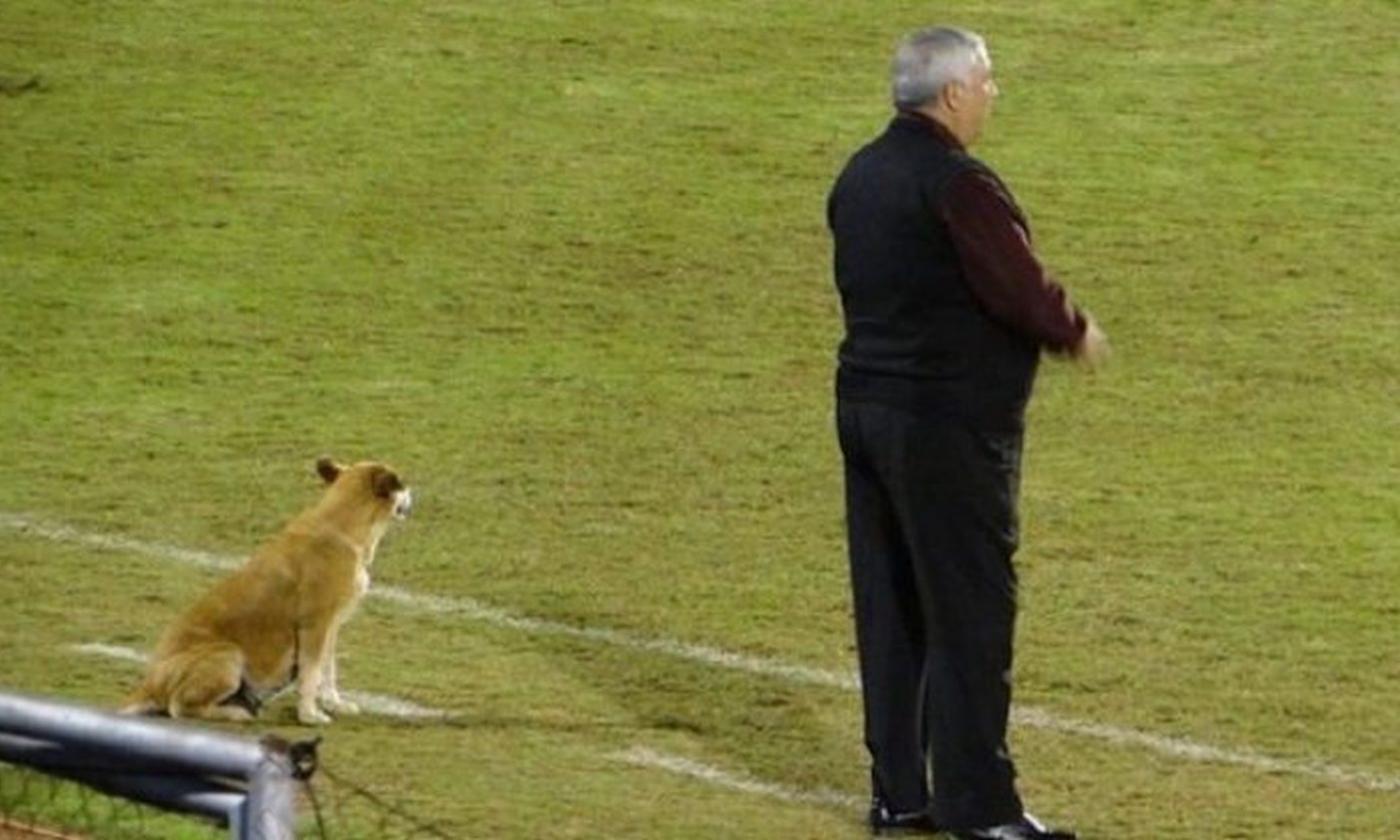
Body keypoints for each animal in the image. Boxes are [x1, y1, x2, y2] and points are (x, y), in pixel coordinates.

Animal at [121, 456, 408, 722]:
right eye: (401, 484)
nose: (412, 491)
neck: (343, 523)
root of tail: (149, 684)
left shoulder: (331, 628)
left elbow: (328, 670)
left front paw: (334, 704)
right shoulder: (315, 626)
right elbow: (311, 673)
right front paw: (309, 714)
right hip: (228, 656)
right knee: (179, 707)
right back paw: (237, 712)